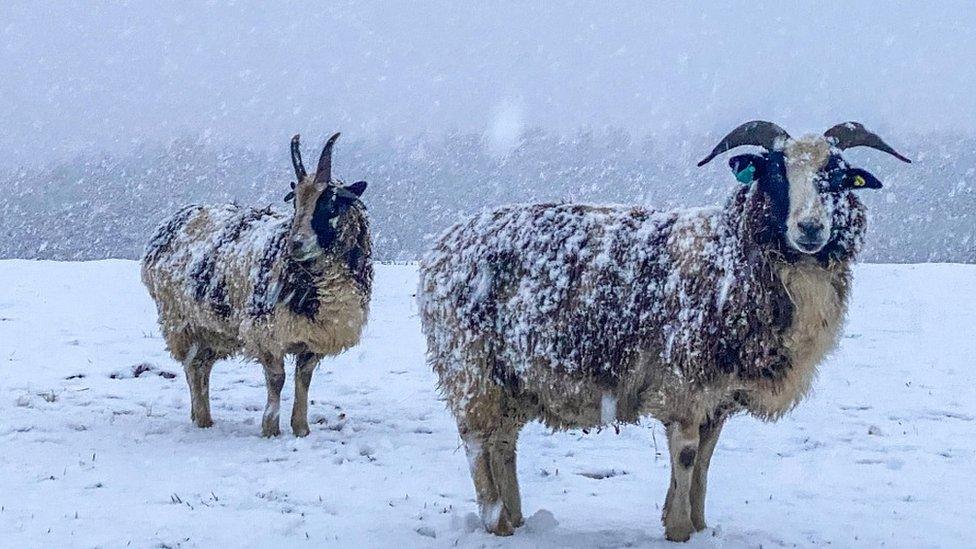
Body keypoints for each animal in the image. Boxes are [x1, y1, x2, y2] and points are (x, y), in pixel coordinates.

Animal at [143, 133, 372, 436]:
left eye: (330, 204)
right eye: (295, 203)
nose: (295, 245)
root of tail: (172, 221)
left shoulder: (314, 335)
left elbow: (303, 378)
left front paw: (301, 428)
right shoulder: (266, 332)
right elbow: (277, 379)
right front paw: (270, 429)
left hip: (213, 328)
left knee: (202, 365)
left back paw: (202, 416)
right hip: (181, 320)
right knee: (193, 366)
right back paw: (203, 419)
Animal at [422, 121, 916, 540]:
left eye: (838, 177)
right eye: (776, 173)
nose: (810, 229)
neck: (733, 254)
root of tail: (442, 246)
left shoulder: (718, 394)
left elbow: (706, 462)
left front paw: (698, 524)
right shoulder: (685, 381)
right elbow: (686, 454)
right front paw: (677, 529)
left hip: (511, 378)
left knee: (503, 442)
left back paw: (517, 517)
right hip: (470, 366)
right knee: (476, 443)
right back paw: (497, 521)